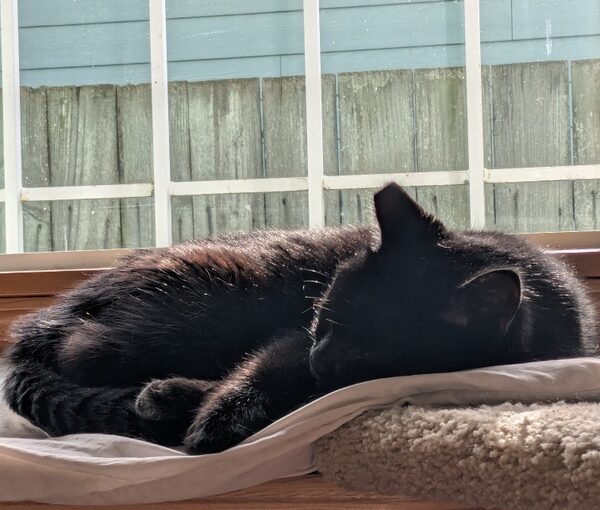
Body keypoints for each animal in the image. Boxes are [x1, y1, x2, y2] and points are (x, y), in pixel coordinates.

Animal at [2, 184, 596, 454]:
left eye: (368, 352)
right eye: (322, 316)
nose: (321, 355)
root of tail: (43, 320)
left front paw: (192, 408)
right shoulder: (287, 341)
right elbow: (259, 372)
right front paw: (210, 418)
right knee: (83, 351)